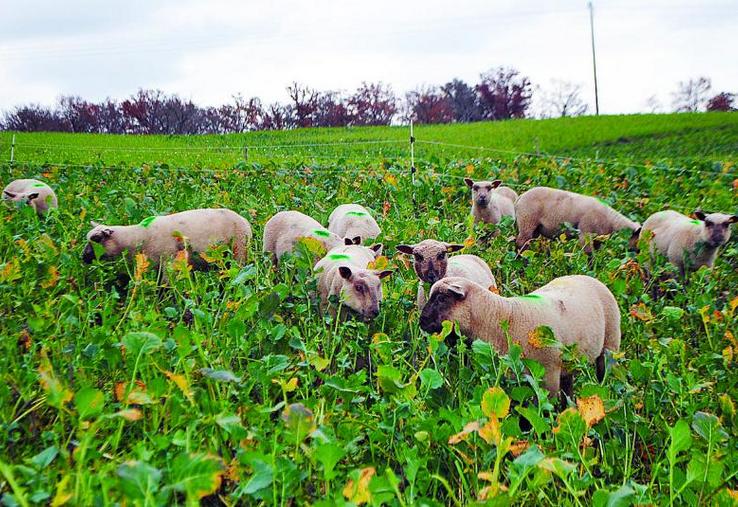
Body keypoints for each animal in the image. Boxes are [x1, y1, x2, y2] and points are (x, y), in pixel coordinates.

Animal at [416, 276, 620, 394]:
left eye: (442, 298)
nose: (422, 321)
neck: (502, 316)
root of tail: (591, 278)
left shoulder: (547, 377)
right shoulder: (516, 376)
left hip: (610, 347)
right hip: (567, 364)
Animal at [512, 187, 640, 254]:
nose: (641, 254)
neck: (611, 221)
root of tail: (520, 198)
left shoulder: (598, 238)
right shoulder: (585, 233)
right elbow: (589, 255)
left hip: (534, 228)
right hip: (527, 221)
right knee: (520, 243)